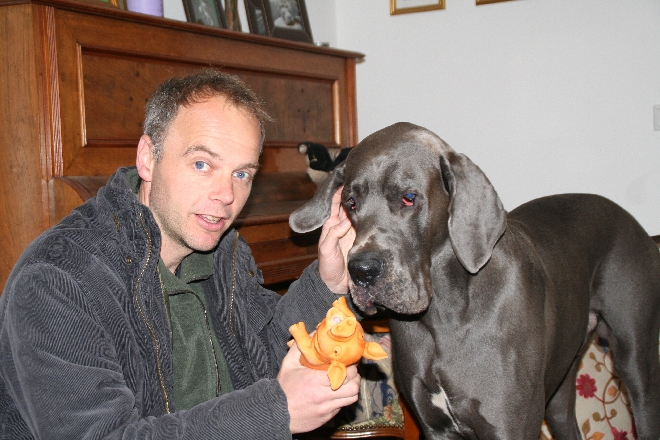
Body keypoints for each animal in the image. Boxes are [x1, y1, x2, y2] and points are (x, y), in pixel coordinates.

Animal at [289, 122, 660, 439]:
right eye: (350, 204)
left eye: (409, 197)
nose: (362, 270)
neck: (443, 315)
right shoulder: (436, 429)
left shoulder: (510, 427)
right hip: (559, 386)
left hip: (637, 367)